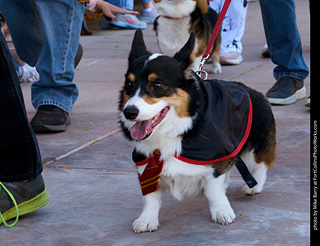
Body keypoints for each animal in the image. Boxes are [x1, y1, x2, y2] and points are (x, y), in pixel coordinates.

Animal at [119, 29, 276, 234]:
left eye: (157, 85)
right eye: (129, 85)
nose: (129, 112)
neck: (176, 131)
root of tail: (250, 90)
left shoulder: (215, 161)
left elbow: (213, 191)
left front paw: (222, 212)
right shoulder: (146, 162)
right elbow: (150, 197)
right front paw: (146, 220)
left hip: (257, 146)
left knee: (261, 165)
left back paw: (253, 186)